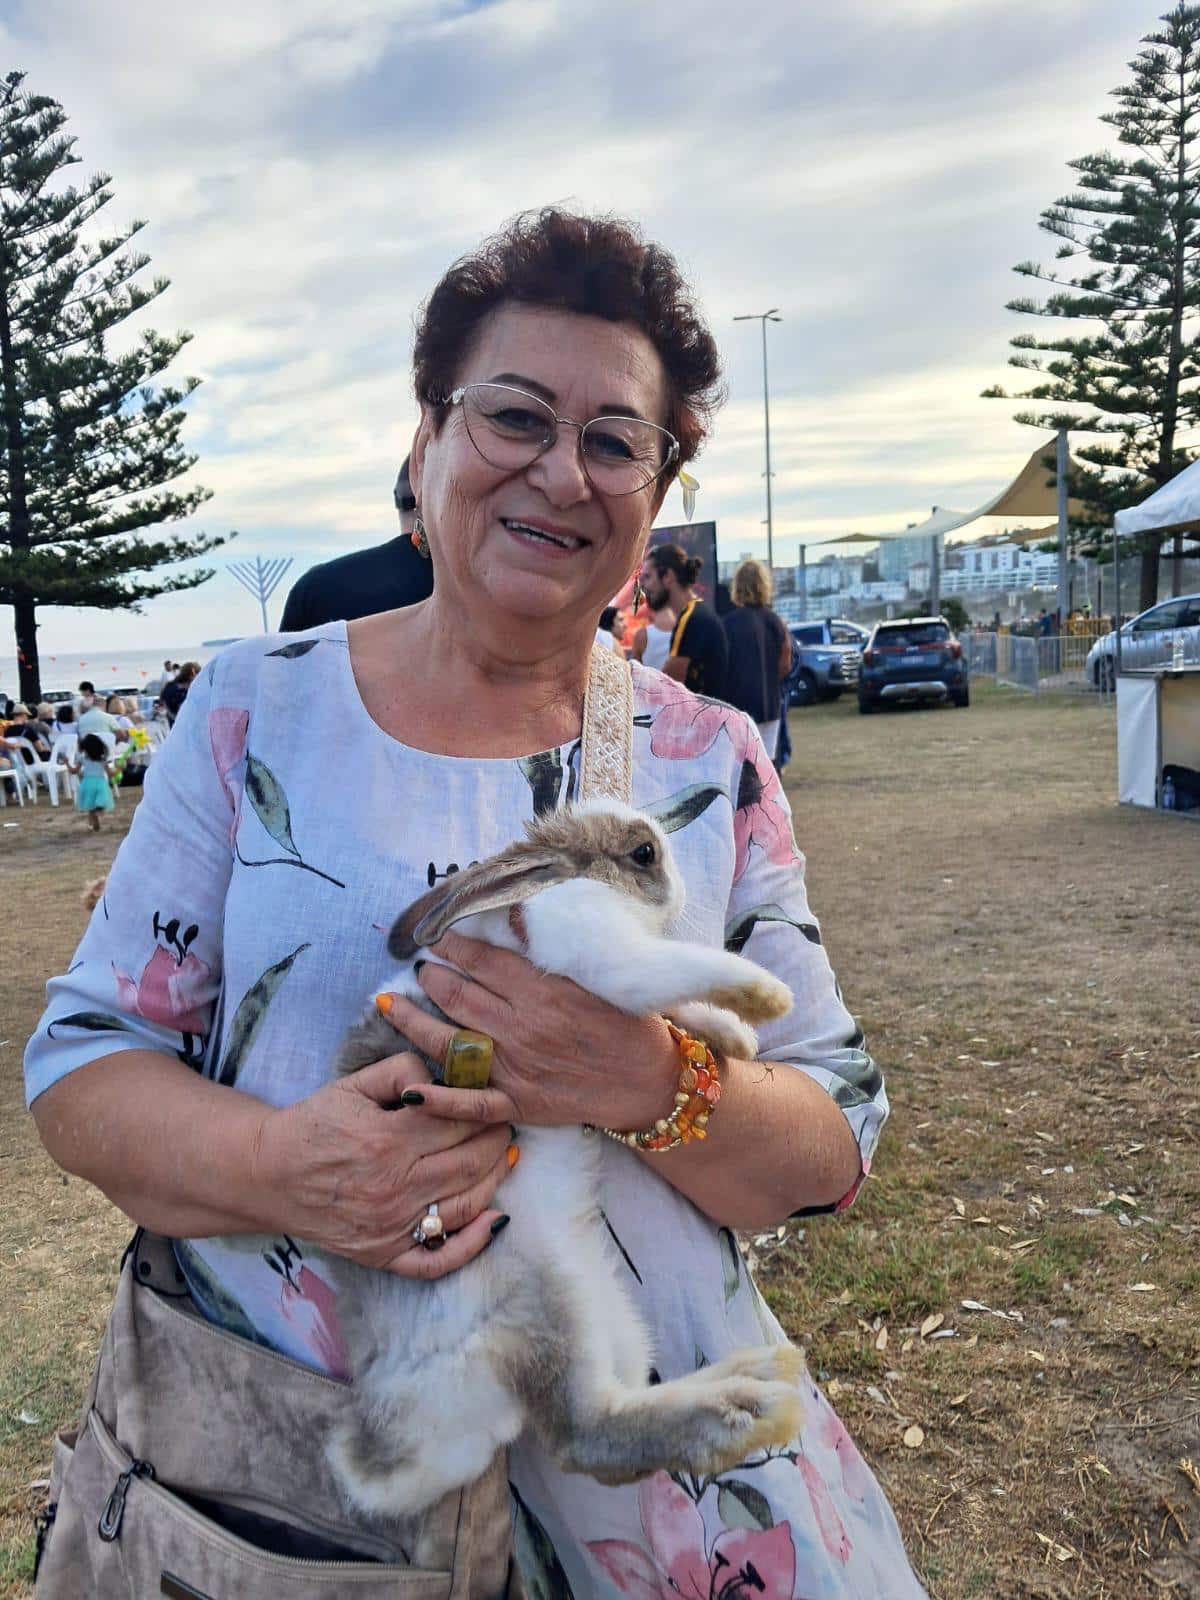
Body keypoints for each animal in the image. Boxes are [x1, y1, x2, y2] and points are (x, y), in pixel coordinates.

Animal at [326, 797, 805, 1519]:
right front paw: (764, 997)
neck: (558, 884)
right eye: (643, 853)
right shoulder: (601, 953)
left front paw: (734, 1036)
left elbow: (674, 1007)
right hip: (551, 1311)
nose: (681, 887)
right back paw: (748, 1410)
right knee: (586, 1434)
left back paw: (749, 1376)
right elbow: (671, 969)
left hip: (609, 1314)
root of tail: (391, 1451)